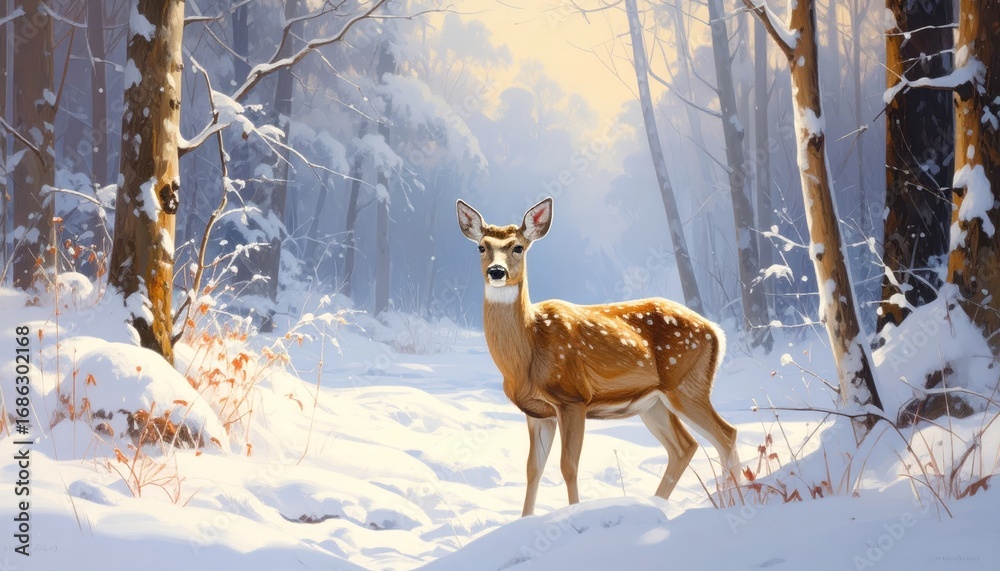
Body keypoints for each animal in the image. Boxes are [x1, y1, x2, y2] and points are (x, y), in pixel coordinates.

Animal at [457, 197, 740, 517]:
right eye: (481, 247)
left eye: (518, 247)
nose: (496, 272)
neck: (527, 354)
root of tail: (717, 332)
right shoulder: (537, 413)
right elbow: (533, 469)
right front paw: (525, 520)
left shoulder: (573, 398)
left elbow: (568, 466)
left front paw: (573, 514)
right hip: (654, 402)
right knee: (684, 447)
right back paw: (657, 504)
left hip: (687, 385)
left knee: (726, 435)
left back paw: (734, 501)